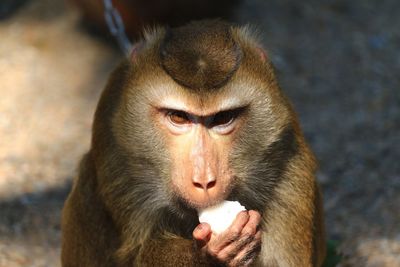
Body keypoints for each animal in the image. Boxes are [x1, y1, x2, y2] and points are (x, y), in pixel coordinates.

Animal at [61, 19, 324, 266]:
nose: (205, 180)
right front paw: (209, 254)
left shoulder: (287, 165)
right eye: (179, 117)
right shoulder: (118, 166)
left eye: (223, 118)